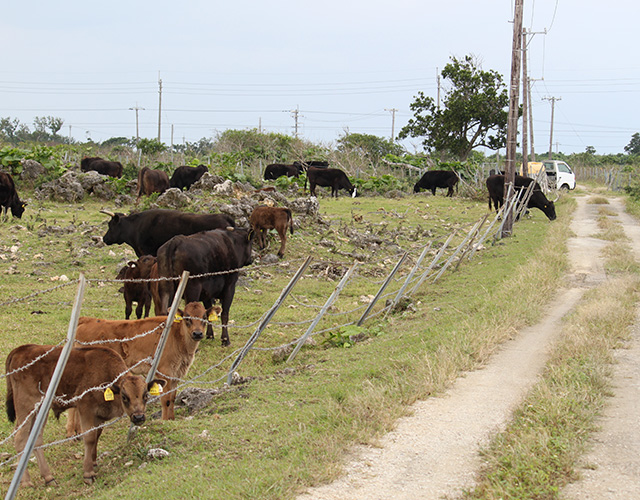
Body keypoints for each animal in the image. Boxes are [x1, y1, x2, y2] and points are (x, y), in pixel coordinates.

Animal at [5, 344, 164, 484]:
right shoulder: (85, 409)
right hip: (26, 407)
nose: (139, 417)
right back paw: (26, 481)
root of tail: (20, 350)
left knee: (35, 439)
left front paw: (93, 462)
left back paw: (48, 478)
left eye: (145, 395)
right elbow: (89, 437)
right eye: (125, 397)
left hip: (39, 412)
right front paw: (88, 473)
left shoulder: (99, 416)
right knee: (20, 438)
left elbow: (97, 435)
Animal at [69, 302, 215, 428]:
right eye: (187, 318)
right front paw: (164, 421)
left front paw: (172, 419)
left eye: (204, 317)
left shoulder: (175, 375)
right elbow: (166, 400)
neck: (178, 337)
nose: (197, 333)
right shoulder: (165, 373)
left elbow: (172, 398)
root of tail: (87, 320)